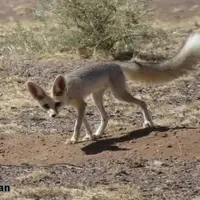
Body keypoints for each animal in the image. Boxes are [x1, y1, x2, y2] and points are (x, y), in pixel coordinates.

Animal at [27, 33, 200, 144]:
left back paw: (148, 123)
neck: (68, 91)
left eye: (57, 104)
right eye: (46, 106)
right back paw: (98, 133)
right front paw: (90, 136)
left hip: (119, 95)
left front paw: (73, 139)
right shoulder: (82, 106)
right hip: (96, 98)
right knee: (106, 116)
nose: (53, 115)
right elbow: (84, 124)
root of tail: (115, 63)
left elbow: (77, 125)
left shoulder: (82, 105)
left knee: (142, 102)